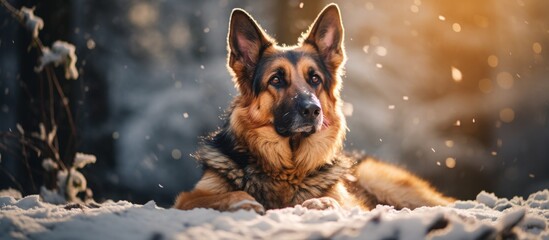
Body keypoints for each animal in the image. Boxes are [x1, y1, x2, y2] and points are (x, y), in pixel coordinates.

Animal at [173, 3, 452, 214]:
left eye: (315, 79)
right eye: (276, 79)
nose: (312, 110)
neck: (287, 168)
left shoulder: (353, 203)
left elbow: (338, 201)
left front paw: (321, 202)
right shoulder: (188, 198)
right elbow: (218, 196)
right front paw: (243, 202)